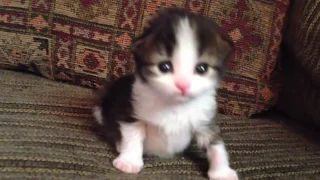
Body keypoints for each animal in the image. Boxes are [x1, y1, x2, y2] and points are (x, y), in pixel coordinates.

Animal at [92, 7, 238, 179]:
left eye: (202, 68)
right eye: (164, 67)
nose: (183, 85)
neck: (175, 105)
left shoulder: (205, 119)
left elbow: (216, 144)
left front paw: (222, 172)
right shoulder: (131, 111)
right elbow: (133, 135)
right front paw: (129, 161)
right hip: (100, 108)